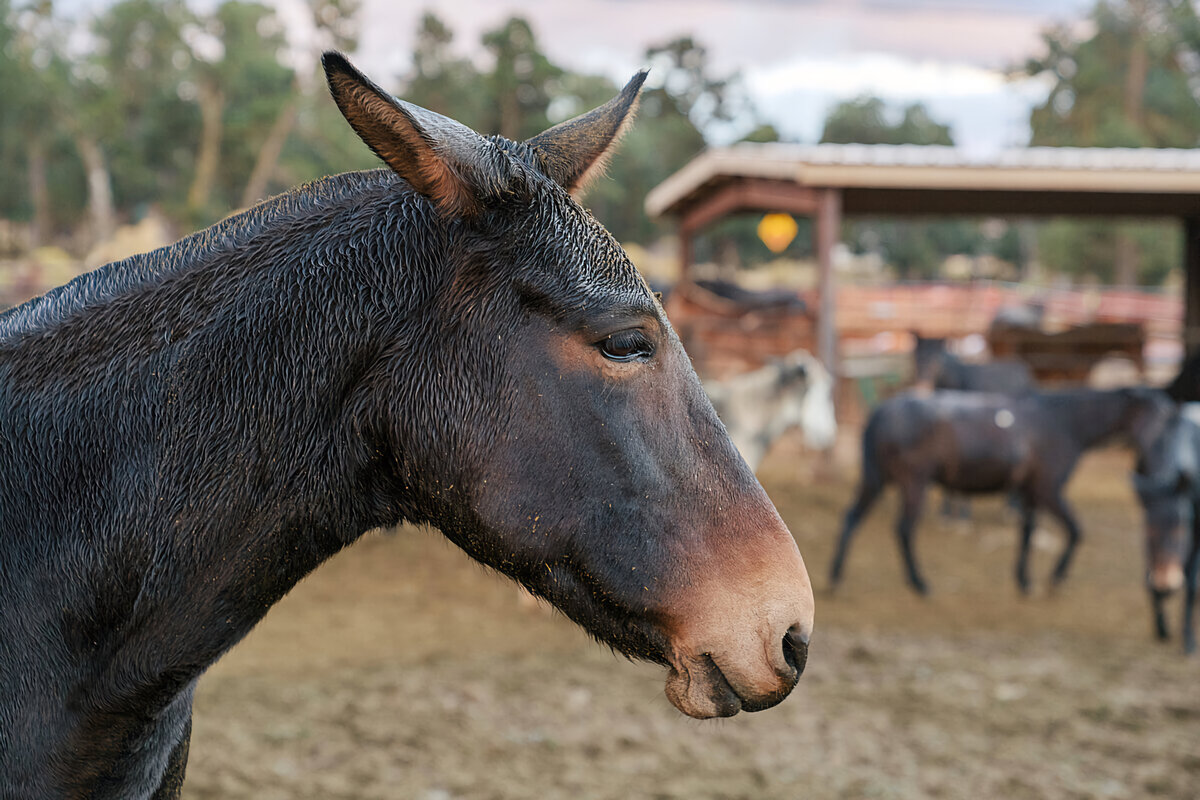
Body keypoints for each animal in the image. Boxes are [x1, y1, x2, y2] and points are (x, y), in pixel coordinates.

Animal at [830, 383, 1176, 597]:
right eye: (1159, 417)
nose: (1163, 455)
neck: (1063, 421)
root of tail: (881, 412)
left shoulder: (1030, 493)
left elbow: (1027, 534)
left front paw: (1024, 580)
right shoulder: (1049, 489)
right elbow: (1076, 530)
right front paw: (1055, 578)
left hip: (876, 479)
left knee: (850, 519)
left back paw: (835, 578)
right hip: (913, 483)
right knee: (903, 529)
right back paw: (919, 583)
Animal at [1128, 402, 1195, 652]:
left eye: (1181, 528)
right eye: (1149, 530)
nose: (1167, 581)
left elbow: (1192, 585)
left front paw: (1188, 639)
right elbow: (1149, 579)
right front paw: (1162, 628)